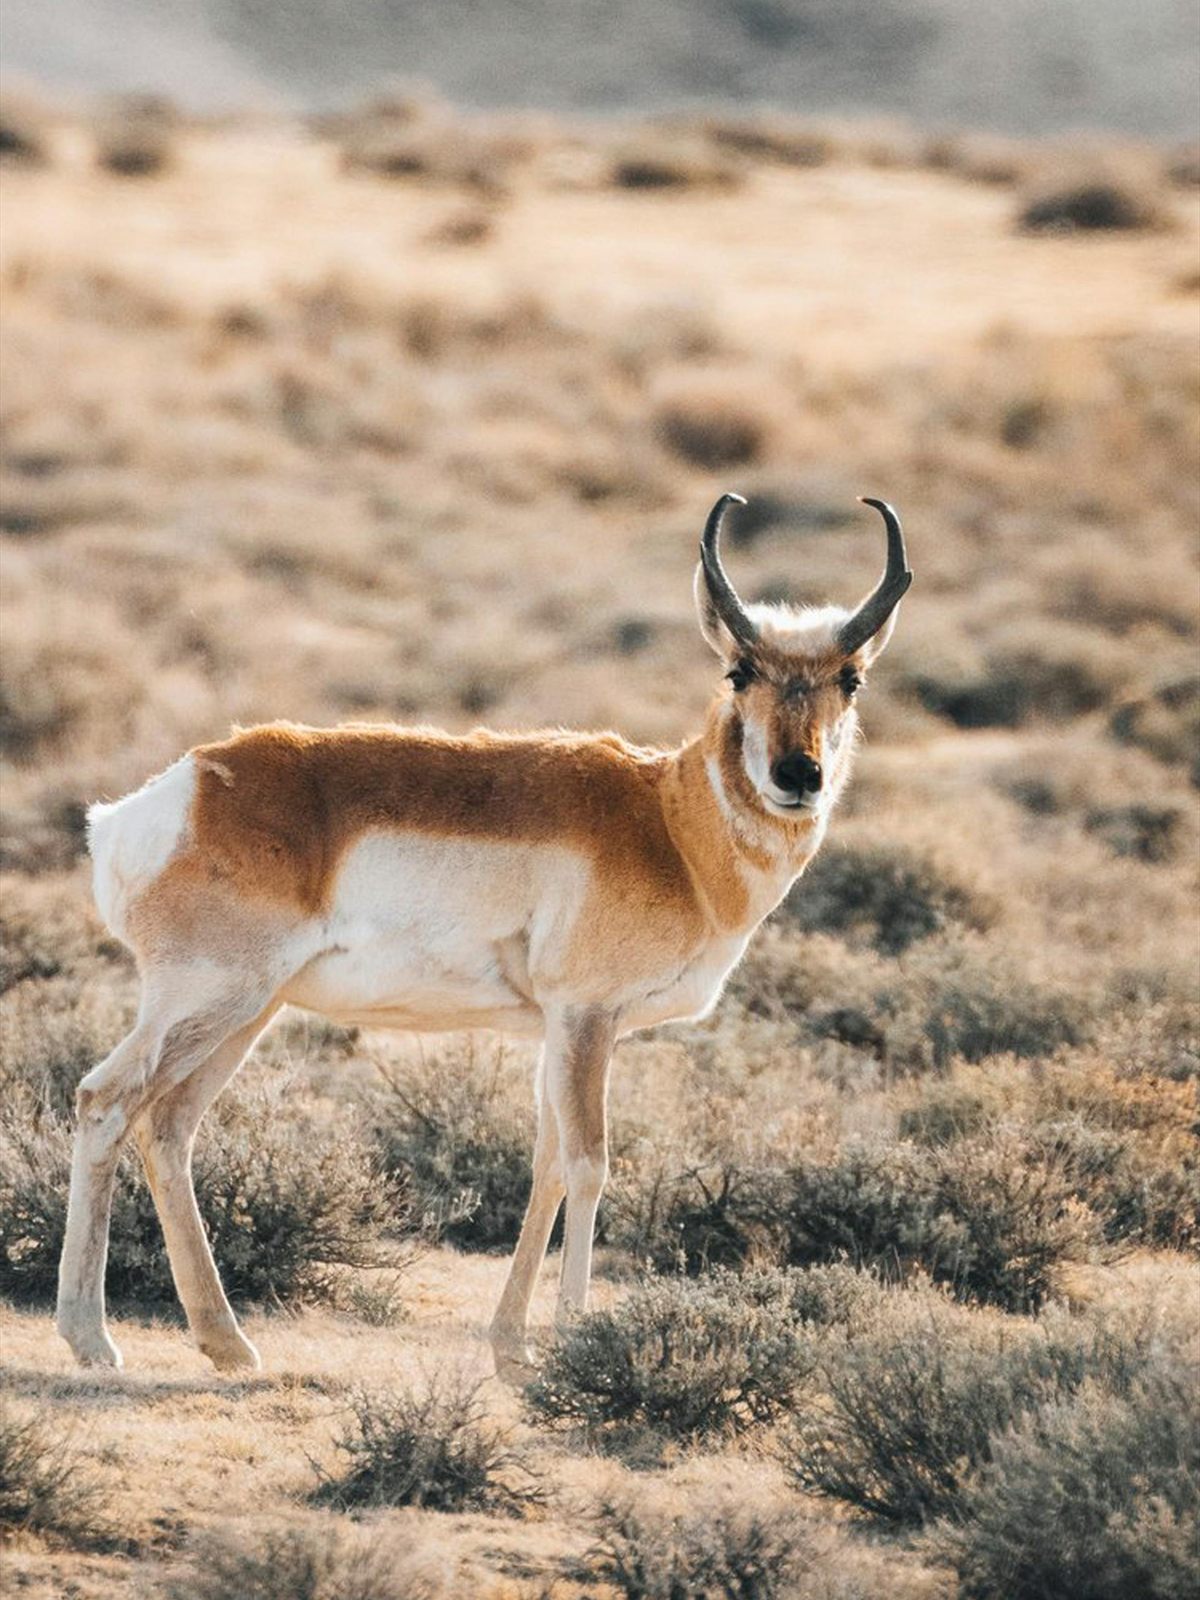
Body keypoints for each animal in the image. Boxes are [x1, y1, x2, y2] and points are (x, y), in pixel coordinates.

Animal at [57, 493, 911, 1376]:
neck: (666, 820)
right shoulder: (586, 1018)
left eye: (850, 678)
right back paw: (94, 1339)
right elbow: (589, 1164)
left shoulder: (563, 1031)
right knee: (105, 1099)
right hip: (208, 1002)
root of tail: (165, 799)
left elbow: (546, 1166)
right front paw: (577, 1340)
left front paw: (511, 1349)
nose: (799, 776)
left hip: (244, 1015)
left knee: (168, 1127)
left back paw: (226, 1342)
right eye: (739, 671)